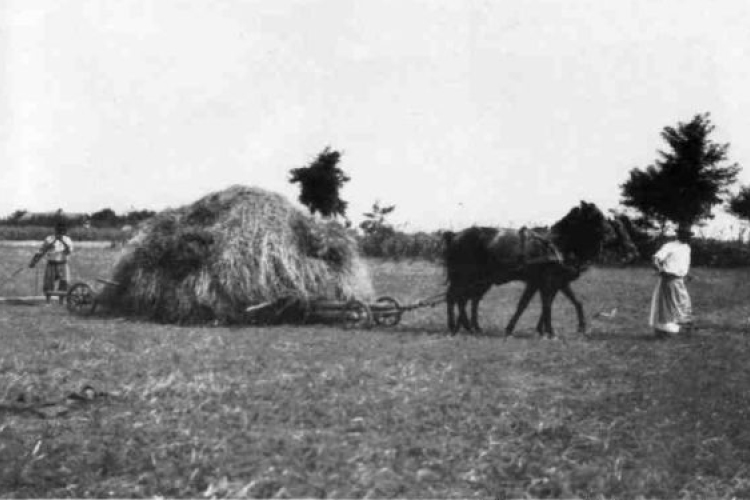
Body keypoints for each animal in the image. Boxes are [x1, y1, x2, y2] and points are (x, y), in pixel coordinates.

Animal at [444, 201, 644, 338]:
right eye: (598, 218)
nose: (633, 252)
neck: (557, 245)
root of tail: (455, 235)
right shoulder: (548, 281)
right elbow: (545, 305)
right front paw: (550, 332)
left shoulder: (551, 282)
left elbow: (565, 302)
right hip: (465, 277)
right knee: (456, 298)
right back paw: (457, 327)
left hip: (478, 281)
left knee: (466, 299)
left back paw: (469, 327)